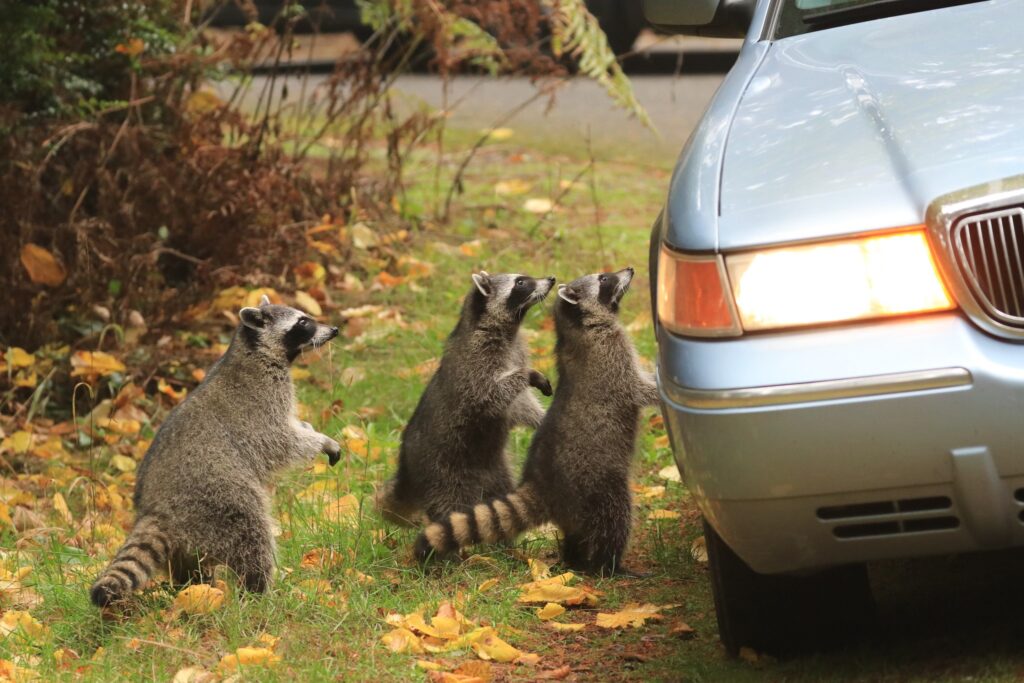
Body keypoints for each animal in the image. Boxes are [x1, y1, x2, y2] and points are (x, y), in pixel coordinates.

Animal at [90, 296, 341, 607]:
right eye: (303, 322)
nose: (334, 330)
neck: (254, 351)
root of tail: (156, 508)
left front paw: (309, 428)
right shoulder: (259, 406)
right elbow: (282, 441)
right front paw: (321, 440)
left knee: (190, 567)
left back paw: (197, 588)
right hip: (219, 499)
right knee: (252, 537)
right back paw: (258, 591)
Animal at [375, 272, 556, 526]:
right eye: (520, 282)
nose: (551, 280)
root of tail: (406, 471)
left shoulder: (516, 352)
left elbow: (520, 405)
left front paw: (541, 417)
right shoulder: (475, 364)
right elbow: (489, 397)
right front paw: (526, 375)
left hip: (494, 469)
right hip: (444, 474)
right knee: (452, 505)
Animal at [414, 268, 660, 575]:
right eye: (604, 279)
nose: (629, 270)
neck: (576, 328)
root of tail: (542, 485)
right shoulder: (611, 359)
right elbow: (637, 389)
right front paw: (660, 389)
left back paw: (574, 558)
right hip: (596, 483)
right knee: (614, 518)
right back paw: (608, 564)